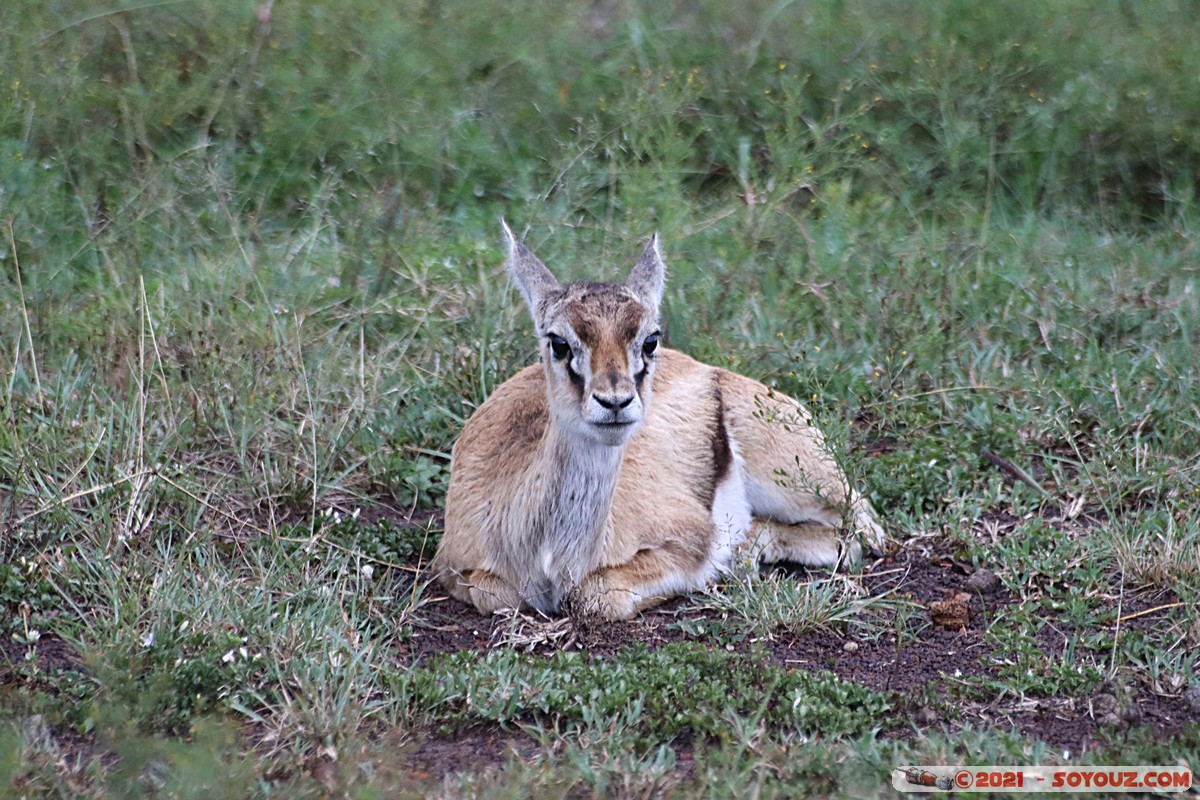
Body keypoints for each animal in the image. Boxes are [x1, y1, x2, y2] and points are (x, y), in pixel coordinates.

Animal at [432, 224, 885, 620]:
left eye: (650, 339)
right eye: (558, 342)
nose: (614, 402)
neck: (551, 556)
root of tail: (712, 370)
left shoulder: (689, 540)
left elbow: (598, 595)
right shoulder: (459, 569)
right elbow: (500, 597)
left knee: (862, 532)